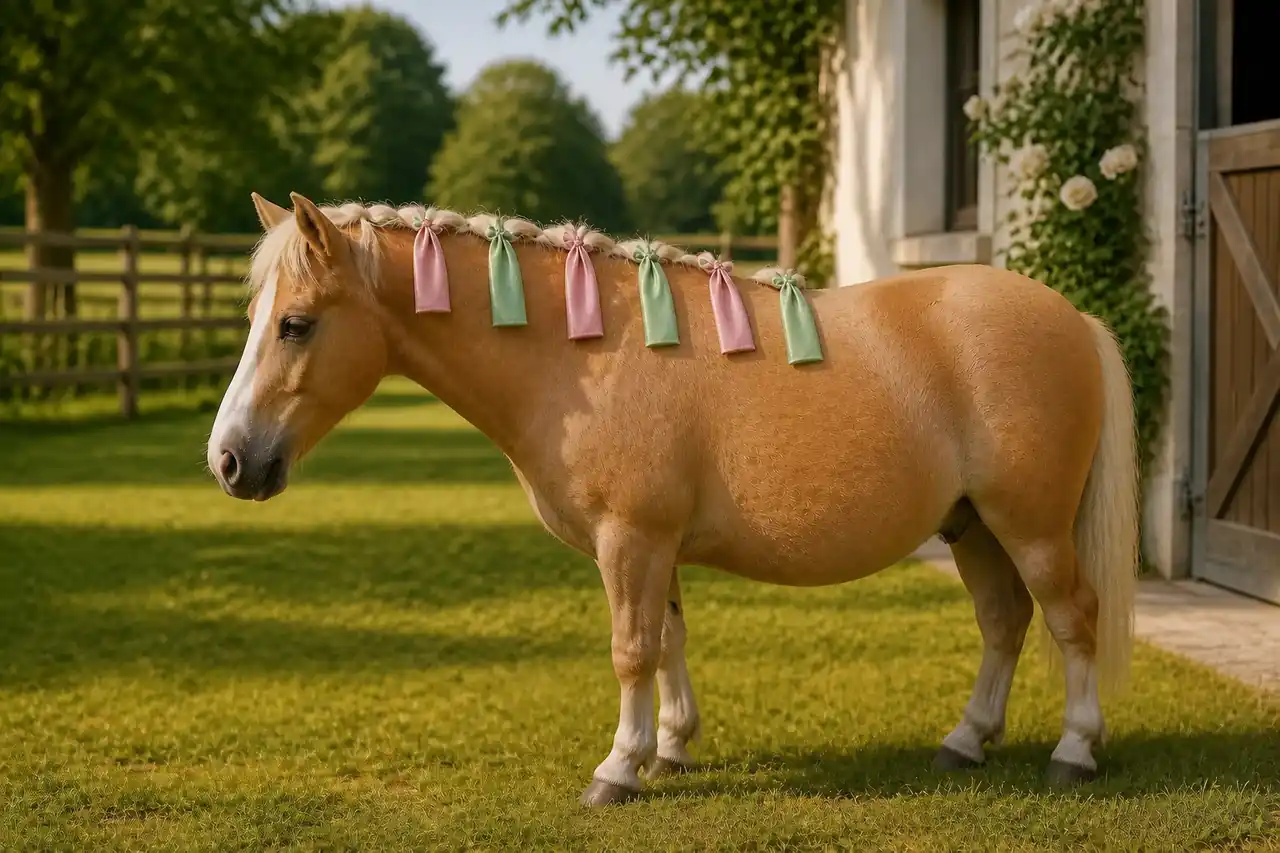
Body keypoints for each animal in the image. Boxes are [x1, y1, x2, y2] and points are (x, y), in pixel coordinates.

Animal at [206, 191, 1139, 806]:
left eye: (295, 323)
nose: (229, 461)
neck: (584, 353)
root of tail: (1073, 318)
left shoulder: (631, 537)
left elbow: (631, 649)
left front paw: (618, 768)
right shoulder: (656, 544)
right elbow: (669, 640)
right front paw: (673, 748)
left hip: (1030, 525)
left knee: (1072, 617)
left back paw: (1074, 750)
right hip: (973, 527)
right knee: (1003, 623)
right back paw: (965, 741)